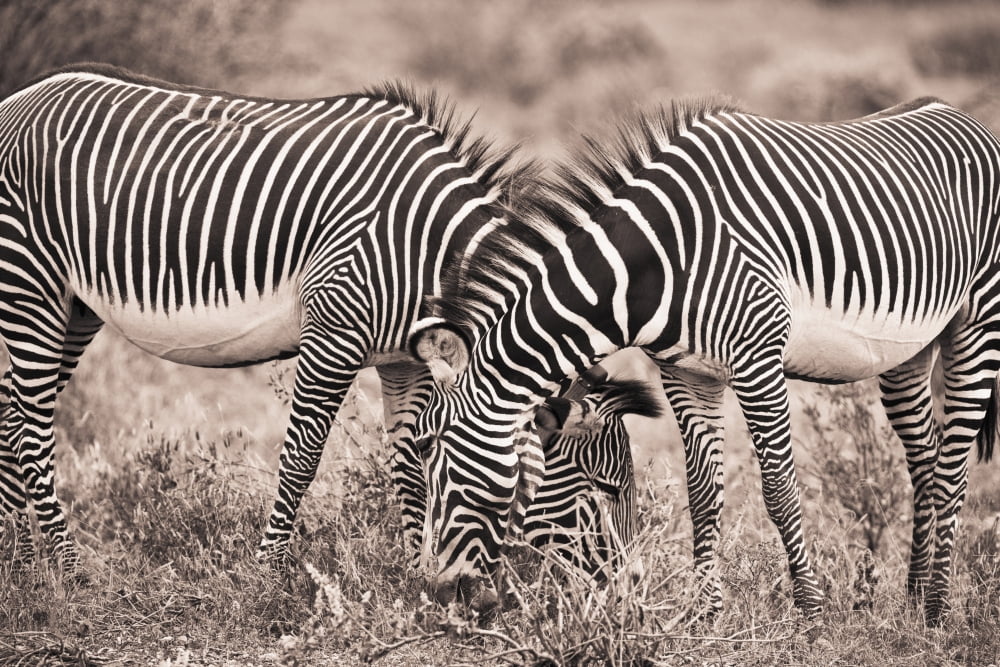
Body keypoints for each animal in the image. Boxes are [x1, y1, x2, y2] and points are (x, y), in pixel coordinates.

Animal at [410, 96, 1000, 624]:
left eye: (443, 463)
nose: (439, 592)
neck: (657, 262)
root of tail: (968, 119)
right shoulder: (685, 372)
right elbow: (703, 495)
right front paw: (704, 613)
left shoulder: (758, 360)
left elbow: (779, 489)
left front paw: (811, 614)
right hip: (911, 350)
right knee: (925, 459)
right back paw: (913, 600)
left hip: (977, 322)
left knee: (954, 469)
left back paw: (938, 609)